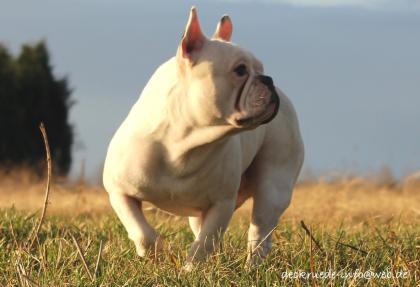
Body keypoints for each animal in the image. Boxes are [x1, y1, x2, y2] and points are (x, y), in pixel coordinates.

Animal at [103, 6, 304, 266]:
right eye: (240, 70)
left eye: (261, 68)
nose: (268, 79)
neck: (183, 141)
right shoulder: (119, 191)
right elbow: (141, 230)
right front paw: (157, 255)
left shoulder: (222, 203)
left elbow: (206, 240)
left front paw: (191, 268)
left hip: (274, 186)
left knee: (259, 230)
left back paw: (252, 265)